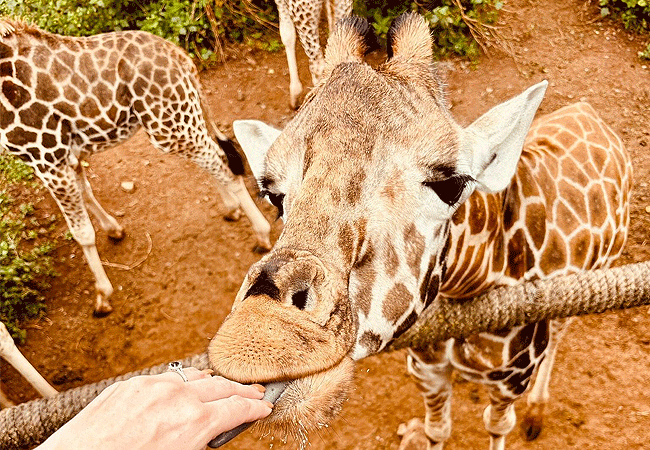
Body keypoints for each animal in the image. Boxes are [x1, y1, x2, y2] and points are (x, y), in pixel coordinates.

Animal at [0, 18, 270, 316]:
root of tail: (181, 56)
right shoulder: (66, 154)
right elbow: (87, 192)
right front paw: (114, 230)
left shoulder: (47, 157)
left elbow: (82, 232)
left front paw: (103, 296)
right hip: (181, 119)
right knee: (214, 156)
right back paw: (232, 209)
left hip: (169, 127)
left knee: (222, 163)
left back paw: (262, 235)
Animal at [206, 12, 628, 448]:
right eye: (273, 196)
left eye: (451, 184)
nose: (258, 341)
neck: (472, 281)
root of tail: (588, 112)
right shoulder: (428, 371)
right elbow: (436, 428)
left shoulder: (511, 379)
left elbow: (498, 425)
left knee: (559, 335)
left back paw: (537, 413)